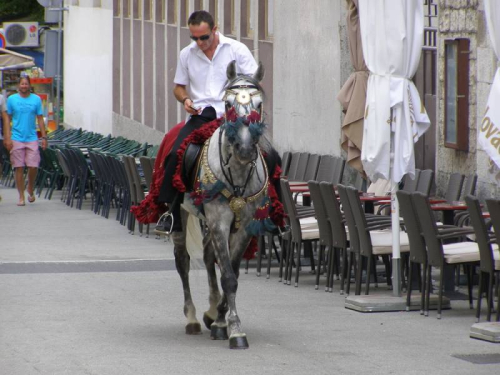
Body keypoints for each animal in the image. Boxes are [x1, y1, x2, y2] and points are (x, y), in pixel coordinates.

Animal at [171, 60, 274, 352]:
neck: (237, 172)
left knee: (208, 256)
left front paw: (220, 321)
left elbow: (233, 272)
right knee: (183, 262)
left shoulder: (243, 226)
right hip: (181, 216)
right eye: (228, 104)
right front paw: (234, 330)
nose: (245, 149)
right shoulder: (219, 221)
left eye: (258, 104)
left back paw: (210, 312)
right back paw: (193, 318)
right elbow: (227, 275)